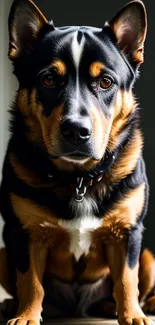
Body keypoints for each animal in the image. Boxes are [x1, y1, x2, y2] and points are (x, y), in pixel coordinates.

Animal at [0, 0, 155, 322]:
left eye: (106, 82)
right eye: (48, 79)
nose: (76, 130)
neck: (79, 178)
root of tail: (79, 307)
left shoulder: (128, 233)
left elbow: (127, 280)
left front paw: (132, 315)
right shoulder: (22, 234)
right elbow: (30, 281)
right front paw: (27, 315)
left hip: (149, 257)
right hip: (2, 254)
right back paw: (16, 305)